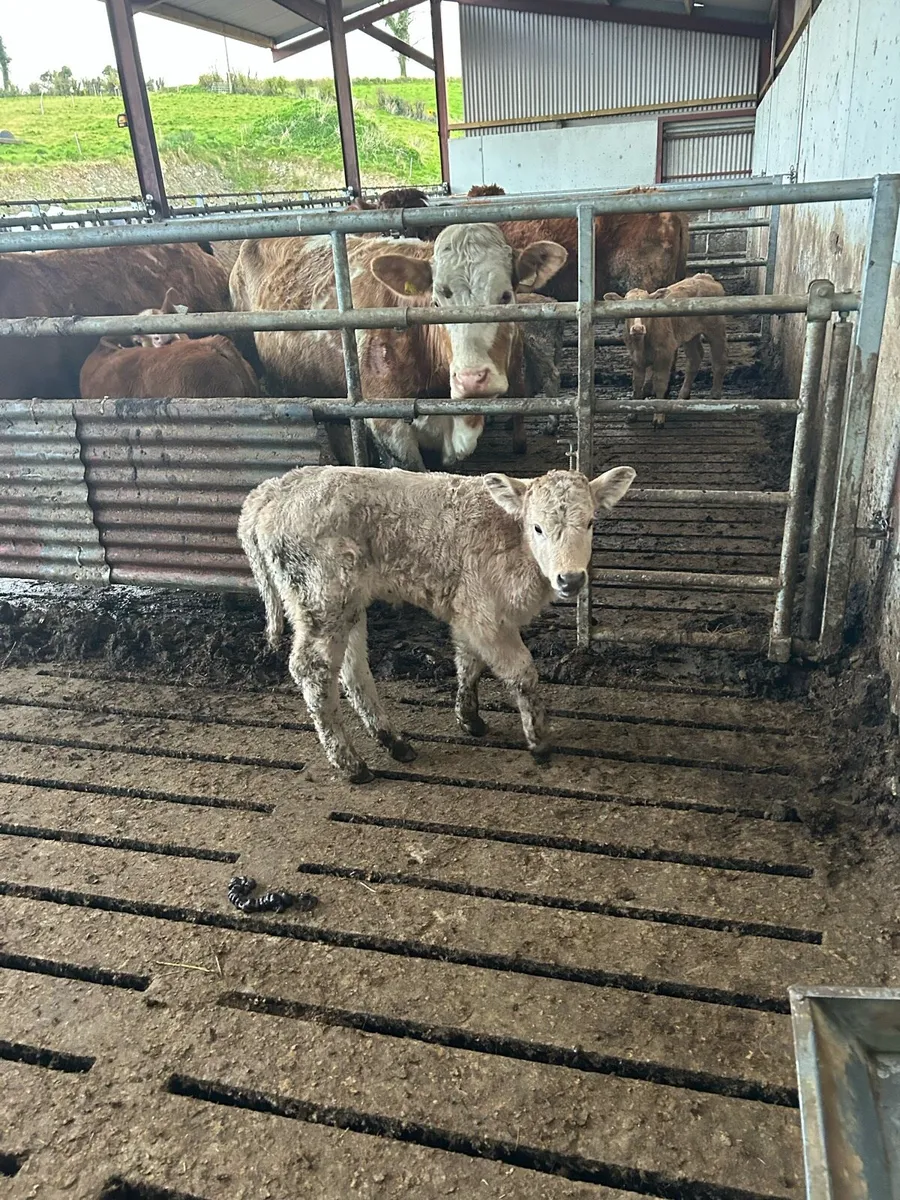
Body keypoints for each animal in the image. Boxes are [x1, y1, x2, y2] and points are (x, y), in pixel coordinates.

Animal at [238, 463, 636, 781]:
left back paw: (392, 741)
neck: (514, 541)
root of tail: (270, 491)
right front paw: (538, 741)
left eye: (590, 522)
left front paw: (469, 718)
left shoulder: (467, 610)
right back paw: (351, 764)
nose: (571, 579)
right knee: (313, 669)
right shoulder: (485, 613)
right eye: (537, 527)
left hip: (346, 600)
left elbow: (469, 663)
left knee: (352, 668)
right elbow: (522, 674)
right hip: (321, 595)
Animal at [604, 273, 728, 428]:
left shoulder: (664, 356)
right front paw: (632, 414)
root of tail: (705, 277)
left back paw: (714, 396)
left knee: (719, 361)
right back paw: (682, 397)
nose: (637, 329)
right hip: (689, 335)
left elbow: (660, 384)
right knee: (694, 359)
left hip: (716, 331)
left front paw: (659, 417)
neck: (642, 343)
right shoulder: (636, 358)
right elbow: (636, 384)